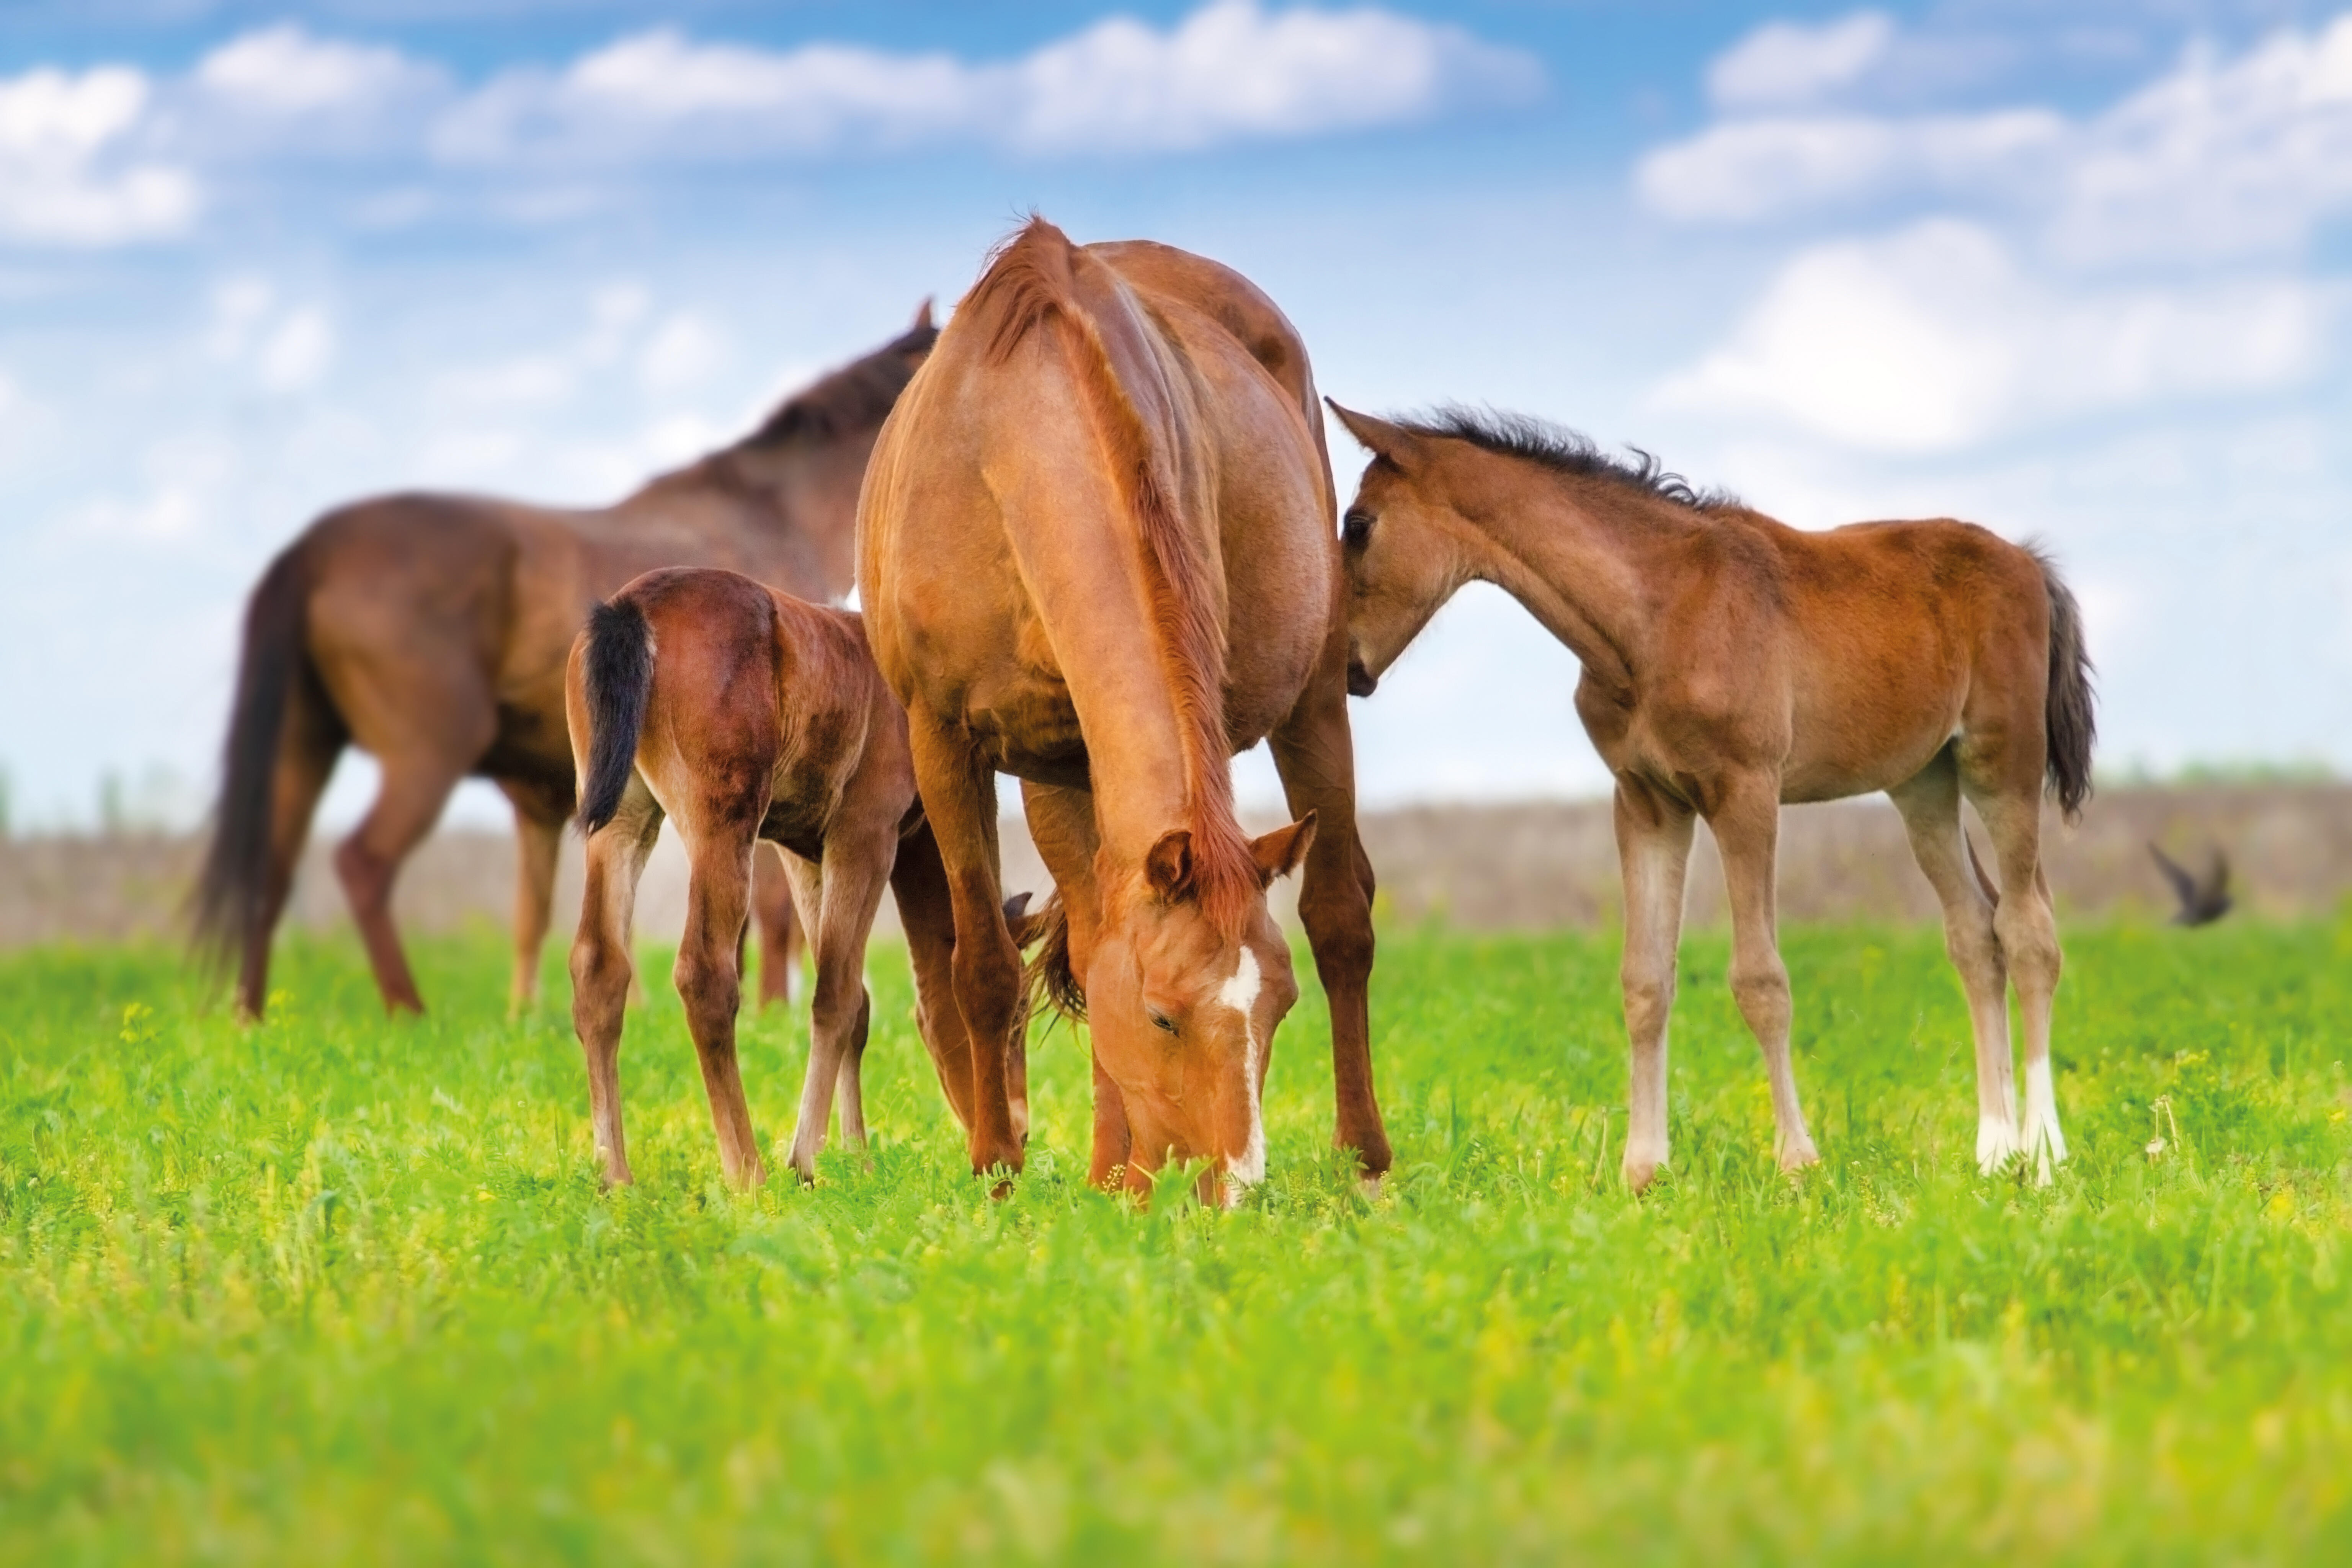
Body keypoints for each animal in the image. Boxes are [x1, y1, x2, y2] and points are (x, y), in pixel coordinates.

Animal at [193, 308, 937, 1021]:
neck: (772, 516)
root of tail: (313, 549)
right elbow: (775, 909)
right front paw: (774, 1015)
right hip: (428, 754)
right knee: (363, 863)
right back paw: (408, 1012)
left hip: (305, 744)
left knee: (272, 874)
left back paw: (251, 1016)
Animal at [565, 566, 985, 1189]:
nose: (1012, 1131)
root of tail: (631, 609)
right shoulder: (866, 836)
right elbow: (836, 993)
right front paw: (808, 1159)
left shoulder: (804, 854)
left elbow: (856, 1003)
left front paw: (856, 1157)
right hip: (722, 821)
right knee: (706, 974)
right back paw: (748, 1171)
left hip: (621, 820)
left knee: (599, 968)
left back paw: (616, 1174)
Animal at [858, 219, 1392, 1202]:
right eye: (1162, 1016)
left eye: (1277, 1007)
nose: (1233, 1190)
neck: (1014, 440)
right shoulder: (948, 741)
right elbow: (987, 965)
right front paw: (1000, 1175)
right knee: (1087, 924)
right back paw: (1115, 1169)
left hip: (1312, 703)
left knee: (1341, 915)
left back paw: (1359, 1162)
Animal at [1328, 405, 2095, 1187]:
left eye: (1358, 524)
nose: (1345, 666)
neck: (1655, 614)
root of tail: (2026, 561)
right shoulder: (1646, 802)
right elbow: (1645, 982)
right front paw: (1642, 1171)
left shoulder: (1745, 794)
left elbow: (1761, 980)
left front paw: (1796, 1162)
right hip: (1923, 784)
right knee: (1974, 932)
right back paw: (1994, 1151)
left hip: (2001, 765)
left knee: (2028, 931)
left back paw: (2043, 1153)